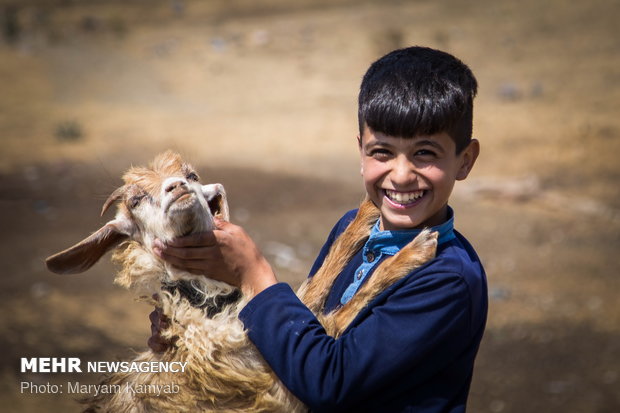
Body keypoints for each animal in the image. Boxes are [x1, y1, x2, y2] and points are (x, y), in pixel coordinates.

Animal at [46, 152, 438, 412]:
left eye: (192, 174)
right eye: (135, 200)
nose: (177, 187)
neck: (204, 314)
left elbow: (319, 279)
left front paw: (369, 209)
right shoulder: (277, 376)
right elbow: (340, 312)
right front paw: (414, 251)